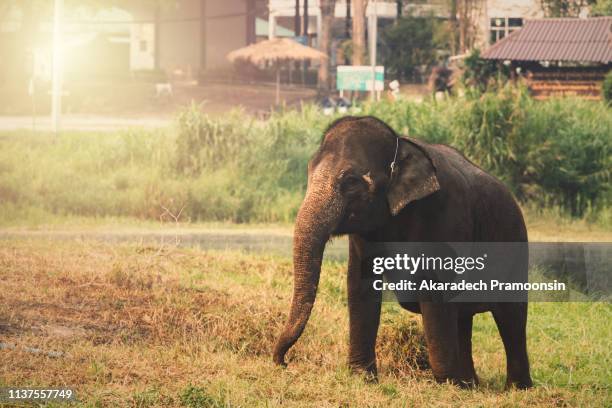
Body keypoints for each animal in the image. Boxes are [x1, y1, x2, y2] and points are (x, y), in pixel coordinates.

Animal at [272, 115, 532, 388]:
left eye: (351, 182)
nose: (283, 362)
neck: (400, 143)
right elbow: (360, 282)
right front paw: (362, 376)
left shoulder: (445, 216)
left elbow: (434, 289)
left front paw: (444, 384)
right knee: (464, 317)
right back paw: (469, 385)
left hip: (515, 243)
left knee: (511, 315)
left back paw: (516, 388)